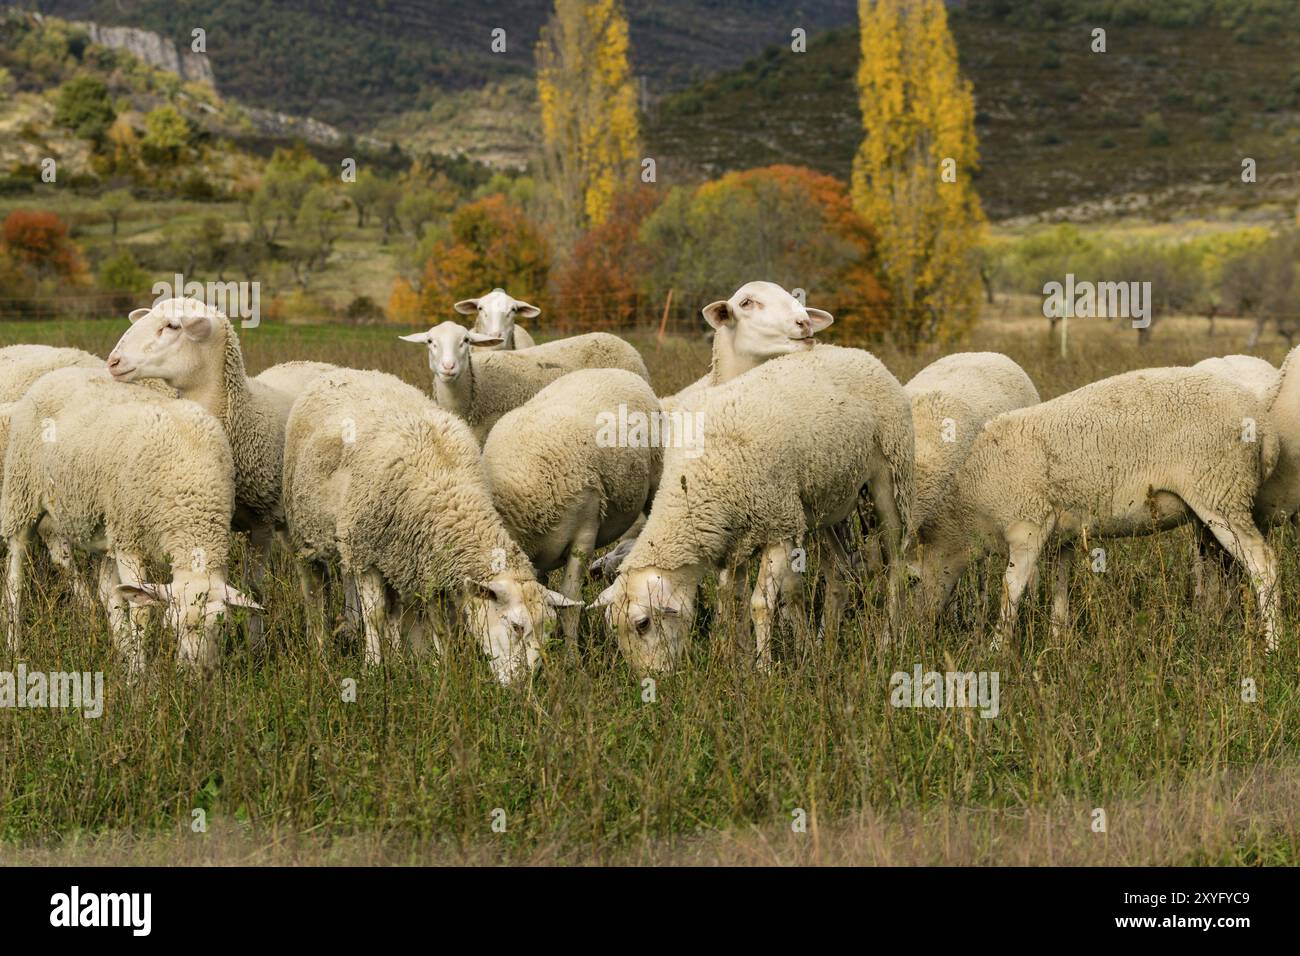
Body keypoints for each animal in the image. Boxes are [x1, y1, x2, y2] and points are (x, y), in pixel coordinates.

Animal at [1, 366, 261, 671]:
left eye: (221, 626)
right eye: (172, 627)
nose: (198, 675)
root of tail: (58, 373)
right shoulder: (130, 541)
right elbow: (141, 612)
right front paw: (139, 674)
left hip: (104, 525)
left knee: (106, 591)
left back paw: (121, 646)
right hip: (22, 494)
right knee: (15, 579)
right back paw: (14, 649)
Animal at [592, 345, 915, 671]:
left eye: (642, 624)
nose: (655, 676)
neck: (700, 483)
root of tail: (859, 353)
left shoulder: (780, 525)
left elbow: (759, 604)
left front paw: (764, 668)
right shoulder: (735, 545)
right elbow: (732, 600)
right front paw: (742, 662)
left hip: (890, 479)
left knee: (895, 566)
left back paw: (888, 642)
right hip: (828, 506)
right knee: (839, 572)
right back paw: (826, 650)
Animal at [920, 366, 1284, 650]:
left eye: (912, 579)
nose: (920, 627)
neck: (966, 512)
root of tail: (1266, 428)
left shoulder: (1027, 527)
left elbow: (1011, 590)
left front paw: (996, 648)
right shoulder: (1064, 534)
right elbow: (1061, 585)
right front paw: (1058, 641)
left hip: (1220, 492)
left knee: (1263, 564)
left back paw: (1273, 645)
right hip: (1214, 504)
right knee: (1219, 569)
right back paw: (1212, 628)